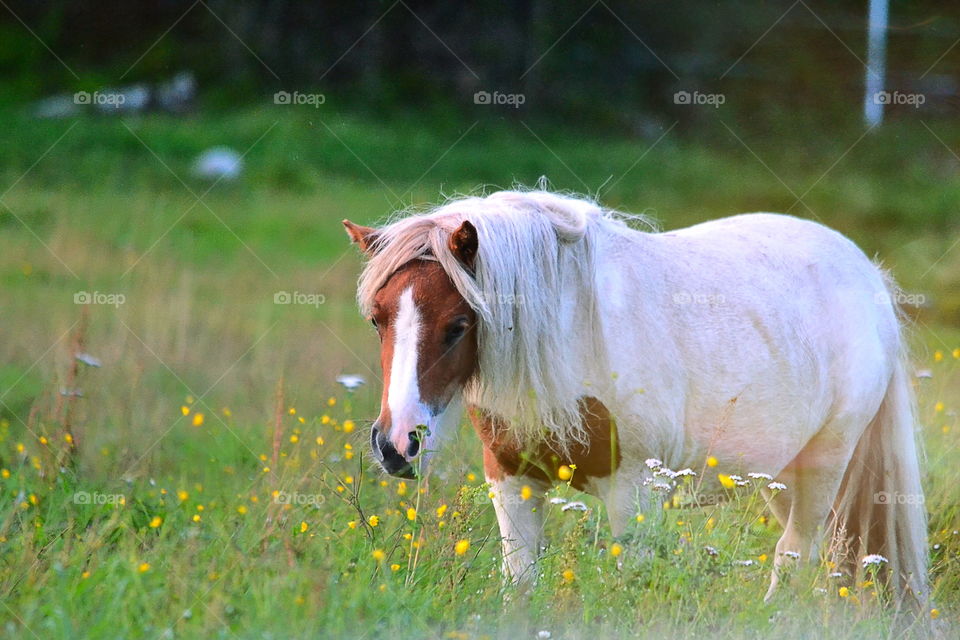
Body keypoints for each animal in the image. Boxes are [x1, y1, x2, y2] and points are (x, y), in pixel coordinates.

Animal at [343, 189, 927, 607]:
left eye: (459, 325)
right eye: (377, 319)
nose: (397, 444)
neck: (571, 335)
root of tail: (868, 275)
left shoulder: (634, 491)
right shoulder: (511, 481)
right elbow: (520, 585)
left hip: (825, 462)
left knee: (794, 553)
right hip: (781, 473)